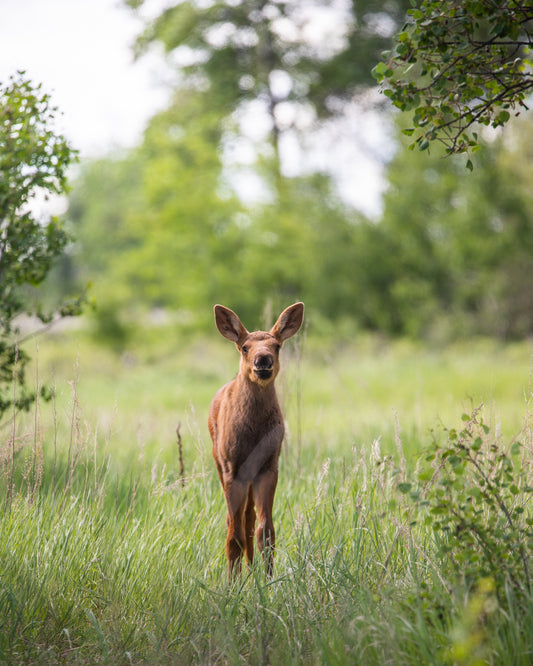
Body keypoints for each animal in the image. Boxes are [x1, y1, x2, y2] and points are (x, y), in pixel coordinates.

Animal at [208, 302, 304, 578]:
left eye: (277, 345)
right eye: (245, 347)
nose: (263, 360)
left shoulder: (269, 467)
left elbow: (266, 532)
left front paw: (269, 580)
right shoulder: (232, 469)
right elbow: (234, 535)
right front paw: (232, 584)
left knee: (249, 519)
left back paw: (251, 573)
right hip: (219, 462)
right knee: (235, 521)